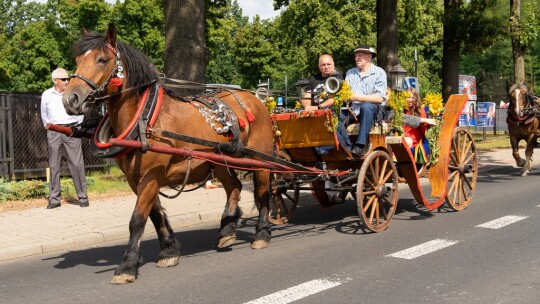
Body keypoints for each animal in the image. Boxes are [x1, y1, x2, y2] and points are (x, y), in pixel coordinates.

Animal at [62, 25, 274, 284]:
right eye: (78, 60)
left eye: (102, 59)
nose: (70, 99)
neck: (145, 118)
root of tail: (256, 99)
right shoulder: (136, 179)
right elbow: (155, 214)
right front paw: (169, 251)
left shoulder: (152, 175)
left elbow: (137, 219)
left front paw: (127, 266)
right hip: (221, 161)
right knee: (234, 186)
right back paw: (227, 229)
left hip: (261, 160)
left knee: (263, 193)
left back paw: (261, 235)